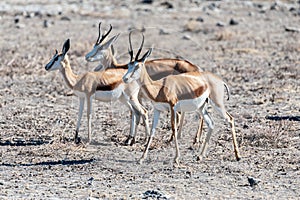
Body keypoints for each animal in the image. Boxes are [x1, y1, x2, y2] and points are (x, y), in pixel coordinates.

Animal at [122, 33, 241, 166]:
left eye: (137, 66)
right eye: (129, 65)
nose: (125, 78)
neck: (159, 88)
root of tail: (220, 80)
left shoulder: (173, 107)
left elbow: (174, 128)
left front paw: (176, 158)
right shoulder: (158, 109)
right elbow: (153, 131)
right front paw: (142, 158)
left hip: (217, 104)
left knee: (230, 119)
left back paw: (237, 156)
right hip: (201, 107)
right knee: (211, 123)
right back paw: (199, 156)